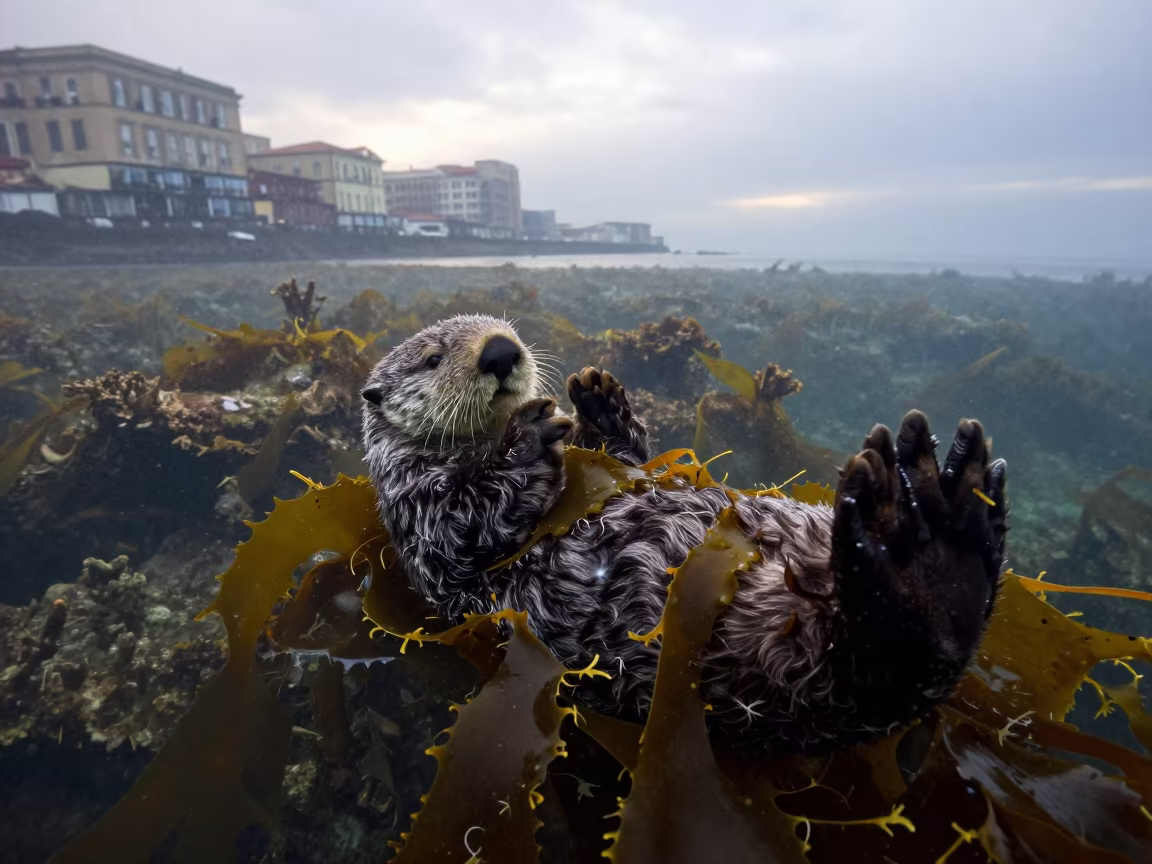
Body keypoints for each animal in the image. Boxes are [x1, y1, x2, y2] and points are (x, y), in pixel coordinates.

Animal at [361, 314, 1008, 752]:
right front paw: (528, 434)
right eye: (433, 358)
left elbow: (631, 460)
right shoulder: (420, 512)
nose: (501, 351)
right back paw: (930, 552)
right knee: (889, 652)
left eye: (508, 328)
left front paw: (602, 400)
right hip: (797, 666)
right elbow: (471, 522)